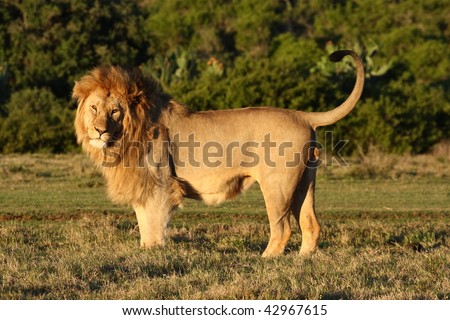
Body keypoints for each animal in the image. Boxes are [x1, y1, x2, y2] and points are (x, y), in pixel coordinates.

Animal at [72, 50, 364, 258]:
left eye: (114, 112)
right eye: (95, 108)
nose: (99, 131)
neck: (124, 137)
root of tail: (302, 115)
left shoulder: (160, 183)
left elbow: (154, 222)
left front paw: (154, 251)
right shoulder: (142, 185)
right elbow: (144, 220)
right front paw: (145, 250)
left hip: (277, 185)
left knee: (283, 228)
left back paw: (265, 258)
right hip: (305, 181)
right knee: (311, 224)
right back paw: (303, 258)